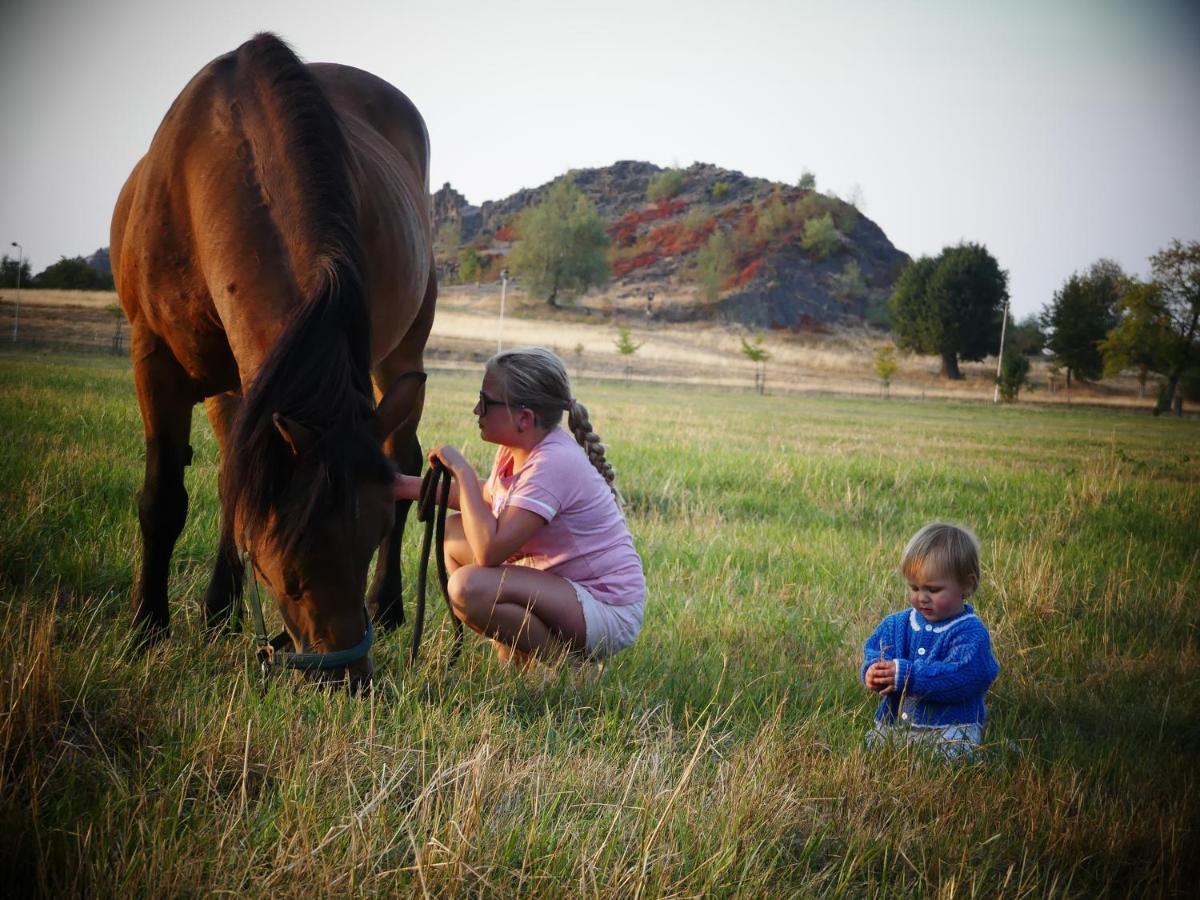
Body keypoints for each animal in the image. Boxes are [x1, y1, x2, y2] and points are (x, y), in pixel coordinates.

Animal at [110, 31, 439, 686]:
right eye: (288, 560)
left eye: (372, 535)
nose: (350, 680)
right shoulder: (157, 360)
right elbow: (167, 497)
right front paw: (148, 628)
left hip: (401, 355)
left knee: (406, 455)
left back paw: (390, 605)